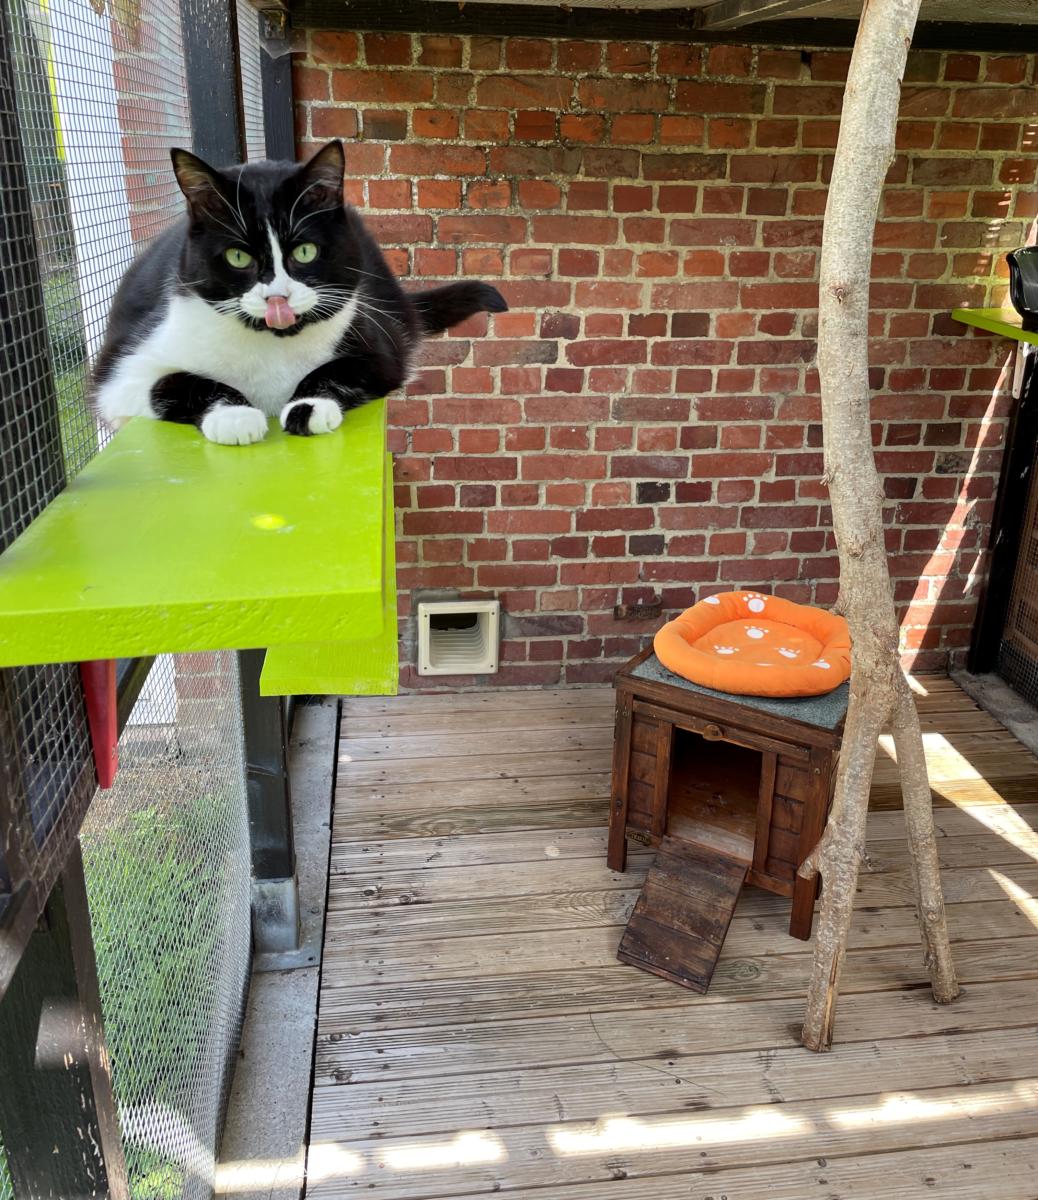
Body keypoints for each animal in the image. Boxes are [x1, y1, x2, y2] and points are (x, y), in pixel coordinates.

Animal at [91, 140, 507, 445]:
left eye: (305, 251)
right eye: (238, 256)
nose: (278, 298)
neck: (274, 344)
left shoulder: (380, 347)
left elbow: (338, 368)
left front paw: (308, 406)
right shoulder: (120, 375)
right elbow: (172, 380)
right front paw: (233, 414)